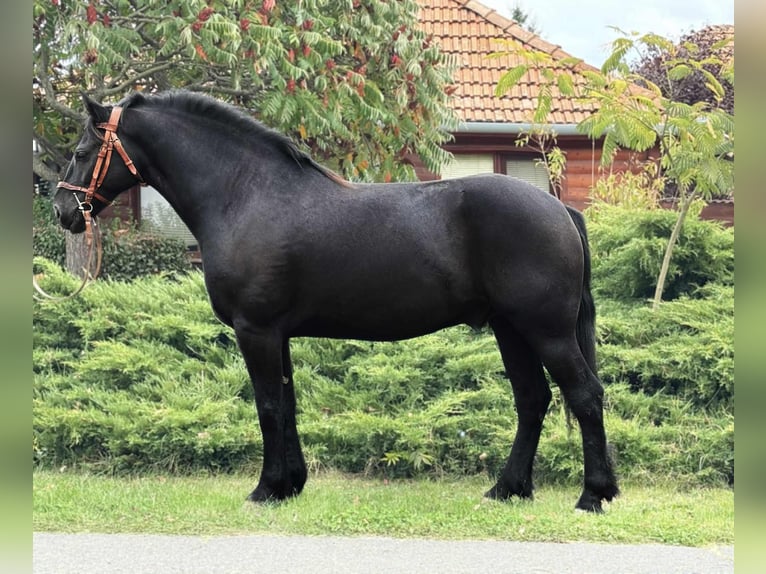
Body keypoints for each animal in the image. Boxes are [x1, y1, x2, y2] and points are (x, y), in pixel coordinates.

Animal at [53, 90, 619, 512]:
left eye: (82, 152)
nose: (62, 210)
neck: (245, 194)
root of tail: (559, 209)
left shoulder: (255, 330)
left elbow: (267, 405)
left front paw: (265, 489)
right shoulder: (276, 333)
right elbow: (287, 404)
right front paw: (290, 485)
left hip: (545, 330)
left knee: (585, 395)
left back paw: (594, 495)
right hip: (510, 329)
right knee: (533, 400)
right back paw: (507, 489)